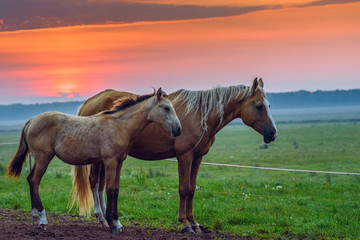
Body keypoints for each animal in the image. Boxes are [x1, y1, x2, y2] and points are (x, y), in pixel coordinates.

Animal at [7, 87, 183, 233]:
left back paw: (37, 217)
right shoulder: (110, 161)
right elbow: (110, 189)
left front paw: (117, 223)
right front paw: (113, 224)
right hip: (43, 157)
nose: (178, 129)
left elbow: (116, 190)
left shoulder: (119, 162)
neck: (119, 126)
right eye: (166, 108)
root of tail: (30, 121)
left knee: (31, 180)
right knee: (34, 180)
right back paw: (42, 220)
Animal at [71, 78, 278, 233]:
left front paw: (195, 223)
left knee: (101, 185)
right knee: (94, 182)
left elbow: (192, 190)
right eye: (259, 106)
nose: (273, 134)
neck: (201, 115)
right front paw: (185, 224)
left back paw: (109, 220)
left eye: (269, 105)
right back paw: (102, 219)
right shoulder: (184, 157)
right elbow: (183, 189)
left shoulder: (197, 158)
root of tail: (90, 101)